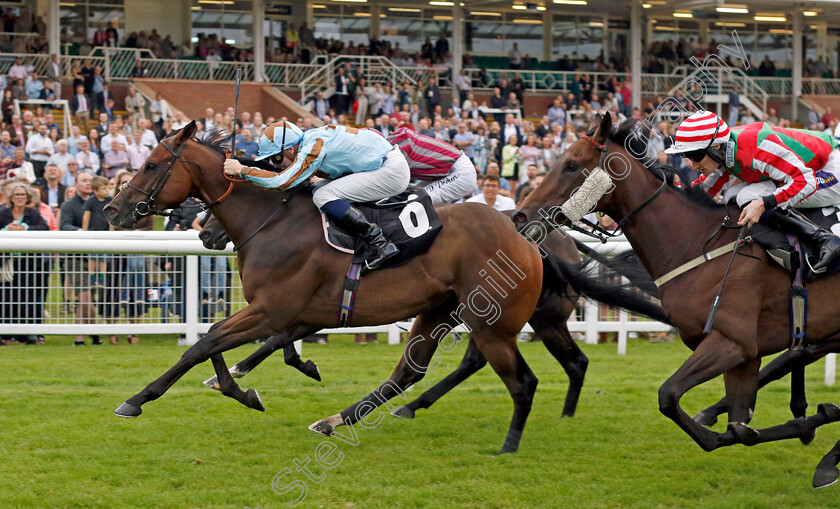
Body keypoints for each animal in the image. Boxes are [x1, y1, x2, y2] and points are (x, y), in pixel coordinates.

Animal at [103, 122, 544, 452]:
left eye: (152, 165)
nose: (112, 209)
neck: (272, 222)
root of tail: (521, 233)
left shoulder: (271, 310)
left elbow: (205, 343)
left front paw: (137, 400)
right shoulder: (292, 312)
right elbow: (221, 342)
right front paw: (244, 386)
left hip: (491, 325)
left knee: (520, 381)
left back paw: (508, 445)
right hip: (440, 310)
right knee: (406, 373)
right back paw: (333, 421)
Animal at [516, 114, 840, 484]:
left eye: (571, 165)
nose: (520, 216)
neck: (697, 243)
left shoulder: (731, 343)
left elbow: (670, 396)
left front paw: (812, 422)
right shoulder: (745, 355)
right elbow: (739, 424)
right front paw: (804, 423)